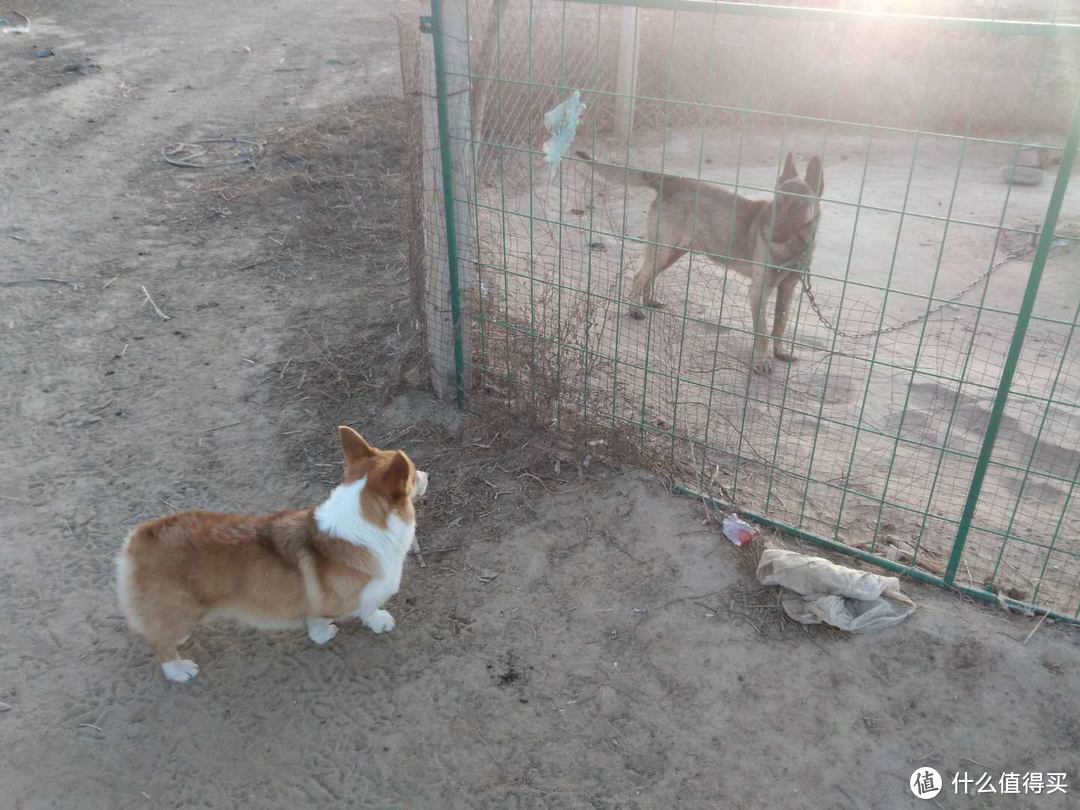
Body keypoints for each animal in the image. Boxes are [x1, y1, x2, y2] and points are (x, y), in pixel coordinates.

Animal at [113, 427, 425, 682]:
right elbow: (365, 609)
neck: (365, 522)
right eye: (412, 471)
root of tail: (138, 538)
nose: (427, 475)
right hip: (182, 617)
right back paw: (179, 670)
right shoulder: (358, 595)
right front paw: (368, 624)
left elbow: (319, 618)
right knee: (160, 643)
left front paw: (324, 633)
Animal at [578, 151, 820, 373]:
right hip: (664, 250)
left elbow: (780, 324)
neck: (796, 244)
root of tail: (670, 180)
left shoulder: (787, 289)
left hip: (672, 253)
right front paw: (761, 361)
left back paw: (648, 301)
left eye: (796, 206)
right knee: (640, 276)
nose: (771, 233)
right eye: (777, 203)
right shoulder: (759, 291)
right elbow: (762, 332)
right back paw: (634, 309)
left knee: (649, 276)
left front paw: (780, 352)